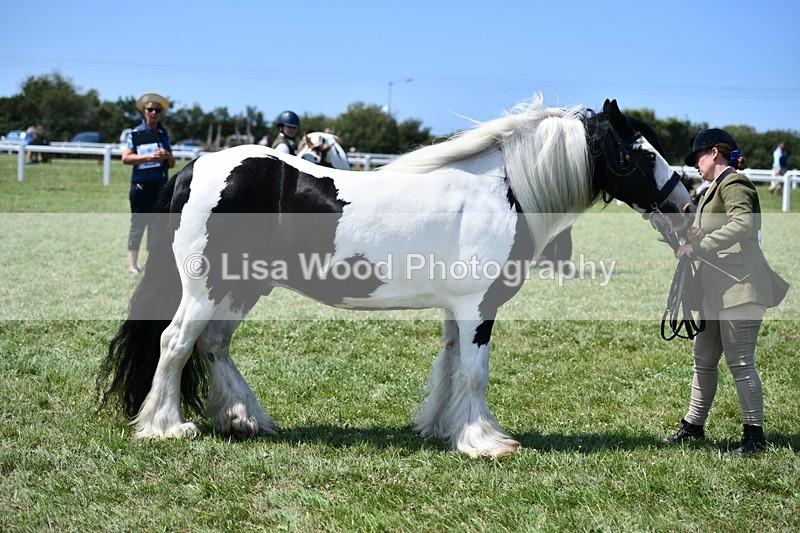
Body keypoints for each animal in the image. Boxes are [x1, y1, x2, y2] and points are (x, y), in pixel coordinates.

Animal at [98, 96, 693, 459]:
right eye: (639, 154)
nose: (686, 203)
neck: (503, 190)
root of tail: (195, 168)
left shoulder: (458, 309)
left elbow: (451, 367)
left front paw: (444, 428)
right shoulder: (478, 308)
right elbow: (474, 372)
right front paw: (486, 441)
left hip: (243, 287)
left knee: (214, 345)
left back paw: (244, 418)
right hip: (204, 289)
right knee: (176, 342)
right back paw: (165, 427)